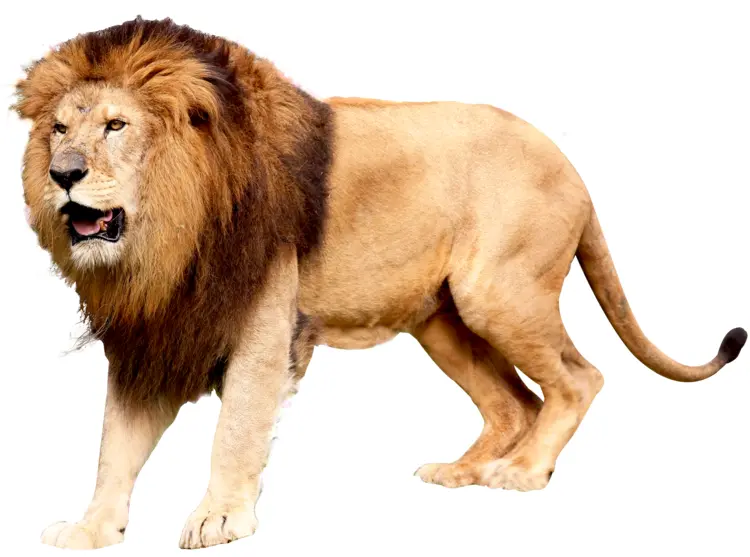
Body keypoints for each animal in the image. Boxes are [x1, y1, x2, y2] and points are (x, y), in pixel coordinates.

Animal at [15, 17, 746, 550]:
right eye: (59, 128)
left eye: (116, 125)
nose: (63, 174)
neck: (167, 236)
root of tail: (572, 168)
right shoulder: (152, 337)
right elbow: (114, 445)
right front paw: (91, 529)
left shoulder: (264, 326)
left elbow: (237, 430)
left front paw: (219, 519)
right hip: (444, 321)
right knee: (514, 403)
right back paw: (462, 471)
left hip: (498, 293)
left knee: (579, 378)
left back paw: (521, 472)